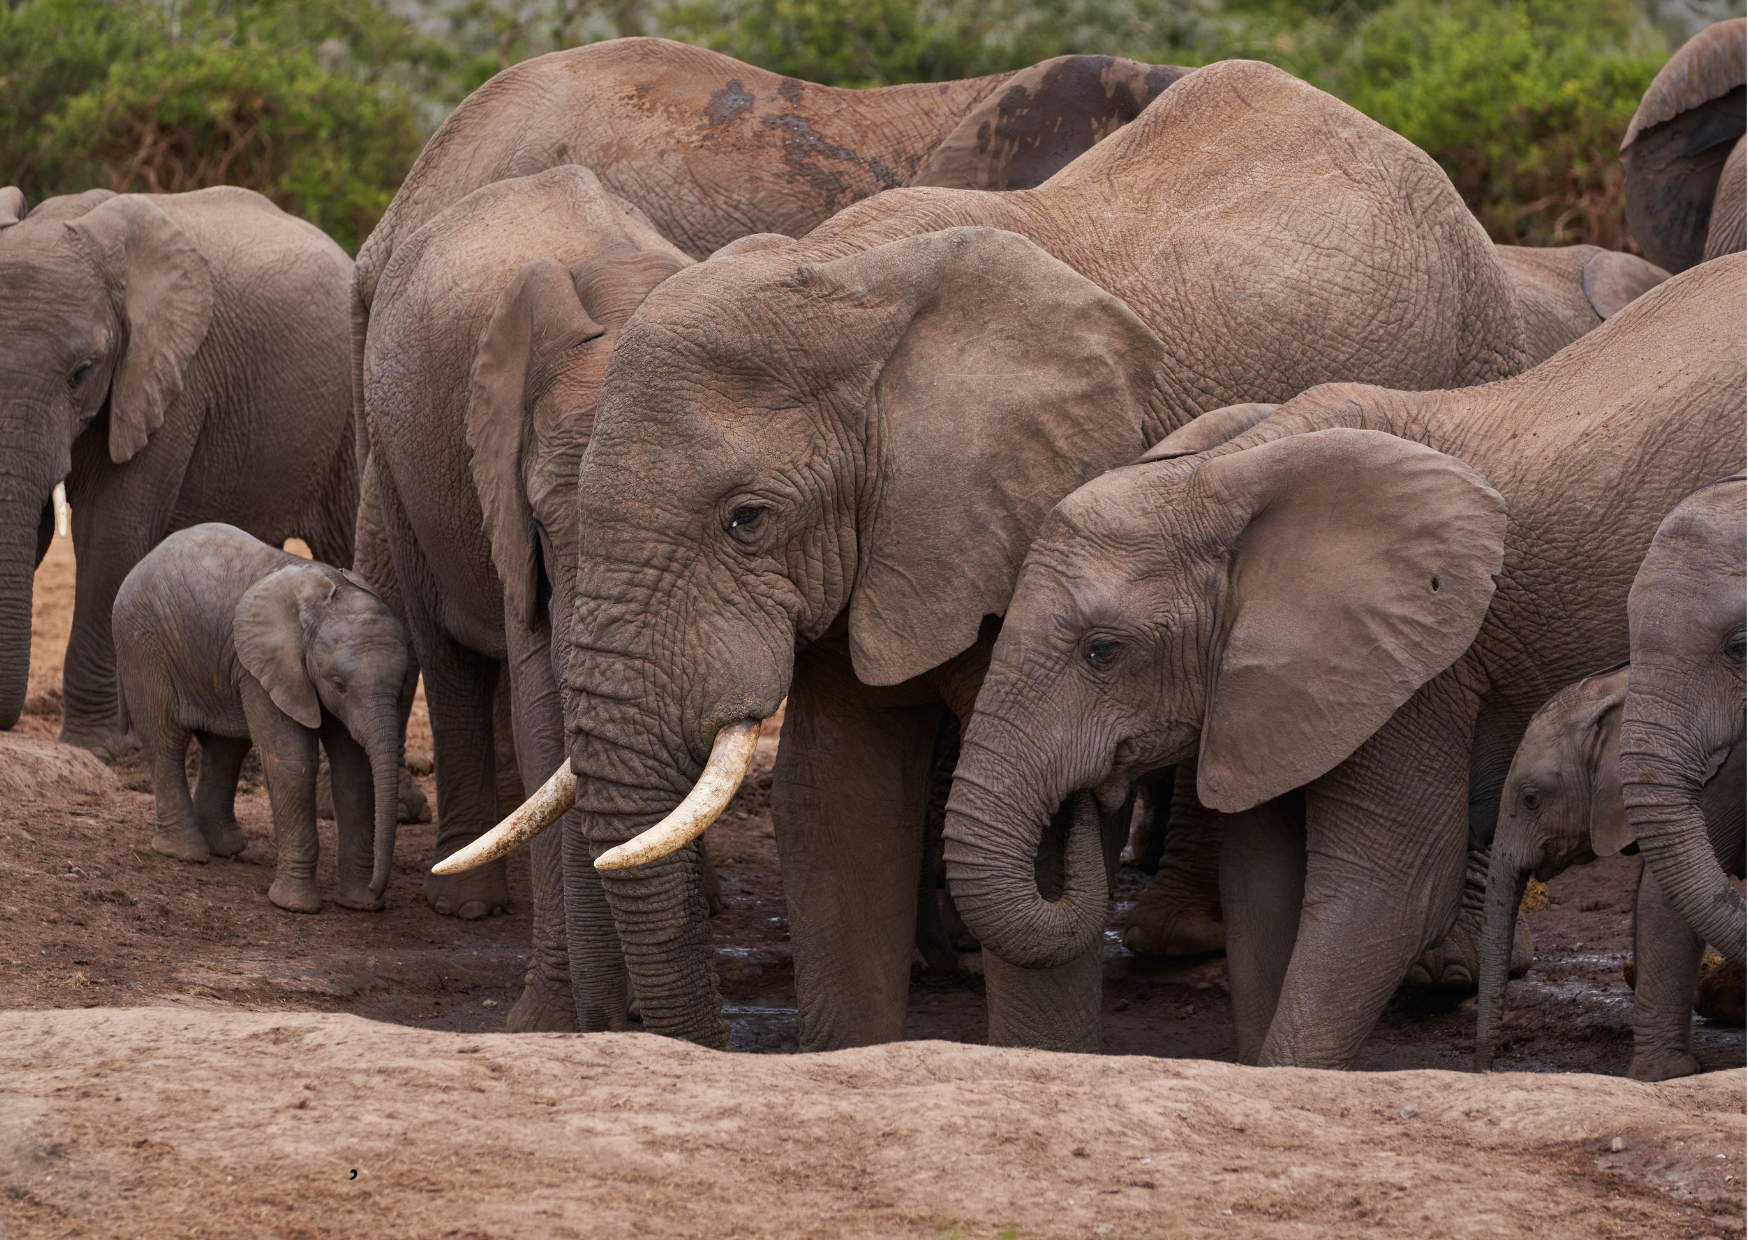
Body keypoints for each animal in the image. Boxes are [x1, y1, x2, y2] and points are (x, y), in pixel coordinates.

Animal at [113, 523, 408, 913]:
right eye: (339, 684)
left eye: (403, 683)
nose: (378, 891)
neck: (328, 594)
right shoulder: (264, 669)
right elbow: (293, 761)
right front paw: (295, 907)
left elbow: (355, 769)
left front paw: (358, 904)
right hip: (142, 642)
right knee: (166, 739)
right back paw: (186, 853)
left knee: (225, 748)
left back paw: (226, 848)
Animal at [362, 165, 691, 1026]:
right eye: (544, 519)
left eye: (739, 518)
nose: (612, 1022)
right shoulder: (504, 488)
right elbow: (544, 718)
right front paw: (546, 1023)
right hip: (397, 460)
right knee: (448, 660)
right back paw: (467, 903)